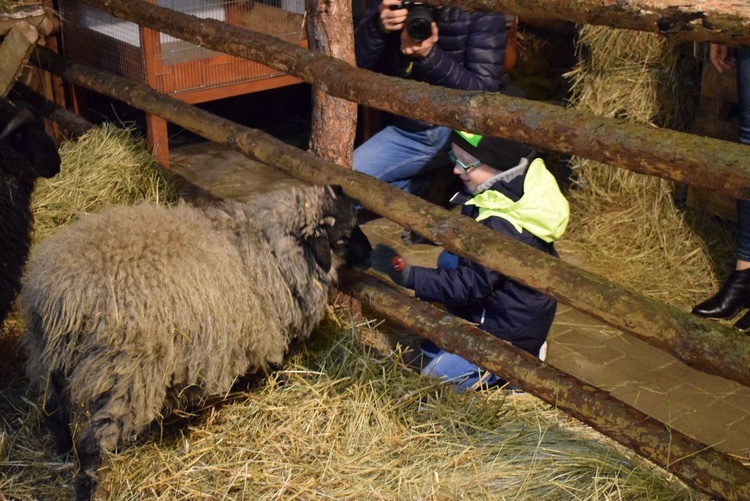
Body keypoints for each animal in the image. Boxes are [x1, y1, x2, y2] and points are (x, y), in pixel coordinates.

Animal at [22, 185, 374, 500]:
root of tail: (63, 296)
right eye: (342, 237)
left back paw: (62, 451)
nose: (372, 256)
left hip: (50, 359)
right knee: (92, 443)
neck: (266, 247)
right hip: (126, 376)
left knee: (53, 411)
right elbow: (271, 363)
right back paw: (87, 485)